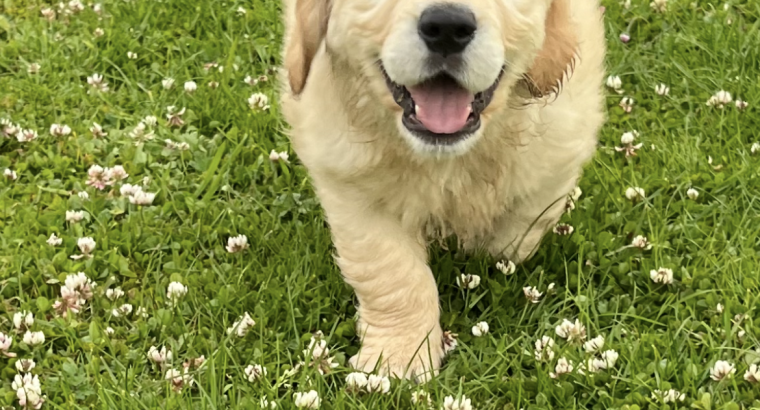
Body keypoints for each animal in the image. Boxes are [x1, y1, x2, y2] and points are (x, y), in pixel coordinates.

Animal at [280, 0, 604, 380]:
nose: (447, 27)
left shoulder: (559, 151)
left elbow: (517, 232)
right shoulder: (350, 184)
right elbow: (391, 273)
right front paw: (399, 357)